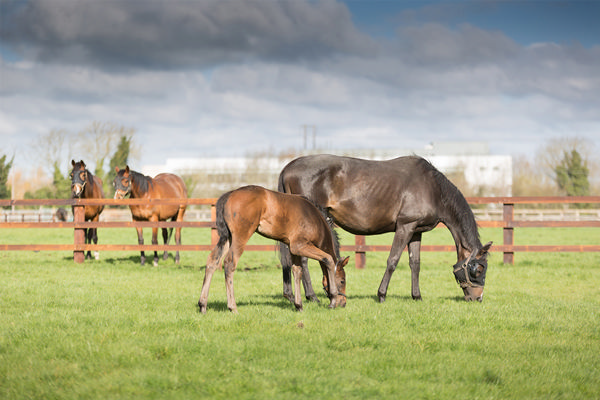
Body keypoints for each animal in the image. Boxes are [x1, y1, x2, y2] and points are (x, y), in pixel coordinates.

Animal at [198, 186, 346, 314]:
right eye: (342, 281)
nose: (343, 303)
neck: (315, 218)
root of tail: (229, 194)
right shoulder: (299, 246)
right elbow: (328, 259)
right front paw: (332, 300)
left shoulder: (294, 249)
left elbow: (297, 271)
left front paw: (299, 305)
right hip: (241, 236)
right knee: (229, 263)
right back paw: (232, 307)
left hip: (227, 238)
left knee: (212, 261)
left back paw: (202, 305)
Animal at [278, 155, 494, 302]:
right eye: (478, 269)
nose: (478, 298)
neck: (432, 189)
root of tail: (287, 167)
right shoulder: (405, 227)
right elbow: (393, 260)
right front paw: (381, 294)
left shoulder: (416, 231)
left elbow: (415, 263)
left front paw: (417, 296)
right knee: (303, 259)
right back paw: (312, 296)